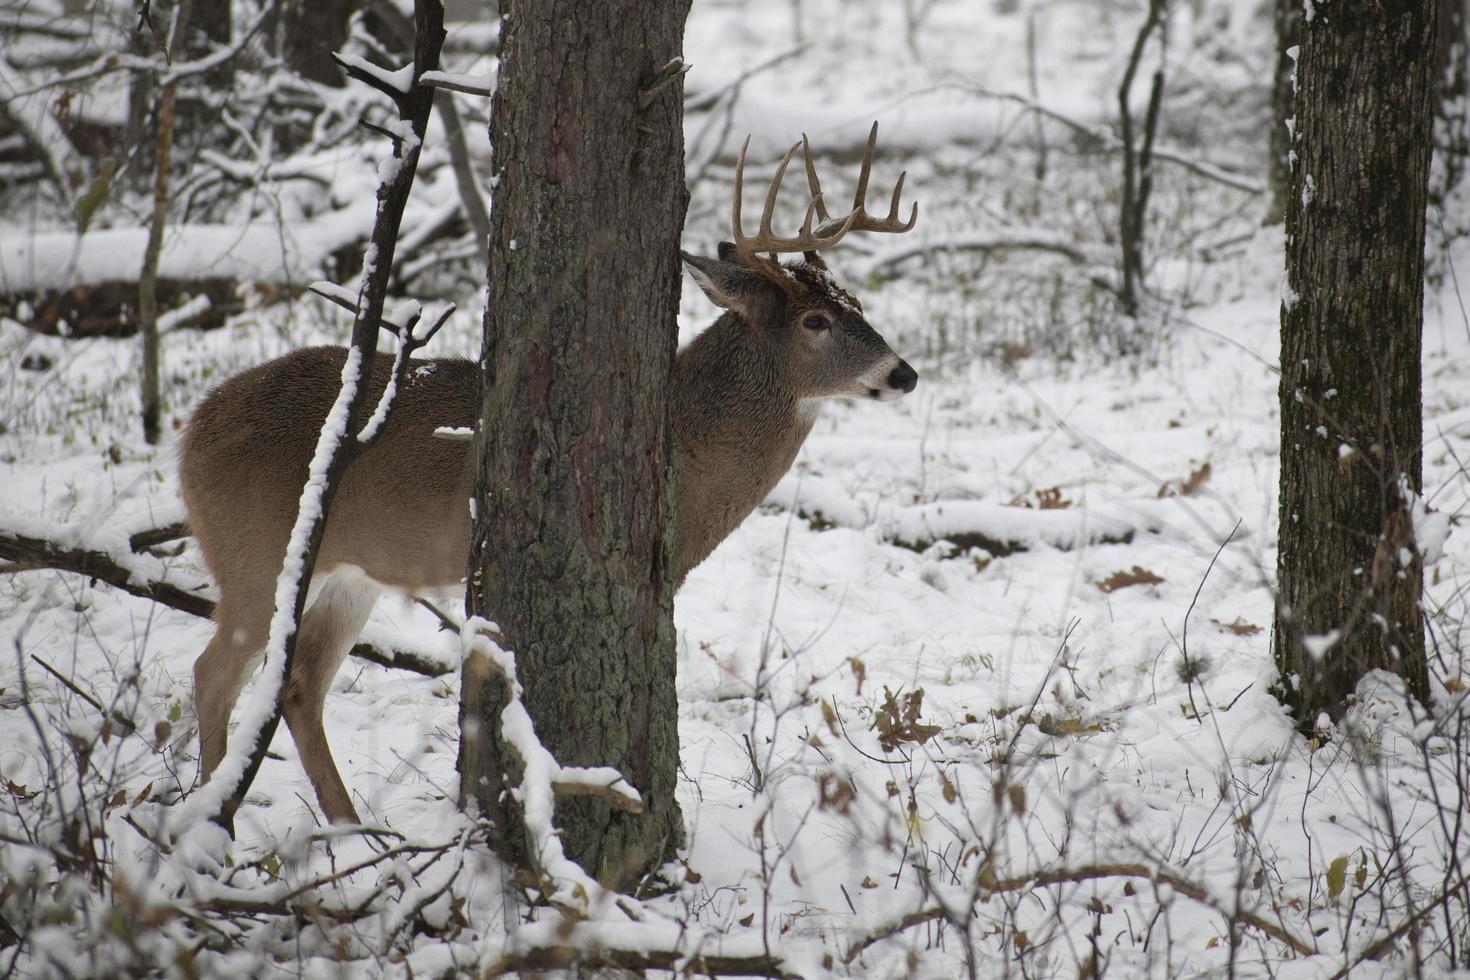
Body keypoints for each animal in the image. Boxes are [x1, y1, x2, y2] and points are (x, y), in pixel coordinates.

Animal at [180, 124, 917, 828]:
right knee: (212, 673)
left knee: (300, 685)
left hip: (347, 576)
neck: (689, 439)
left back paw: (349, 829)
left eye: (857, 303)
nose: (904, 373)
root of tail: (189, 438)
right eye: (816, 320)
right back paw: (216, 831)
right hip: (253, 556)